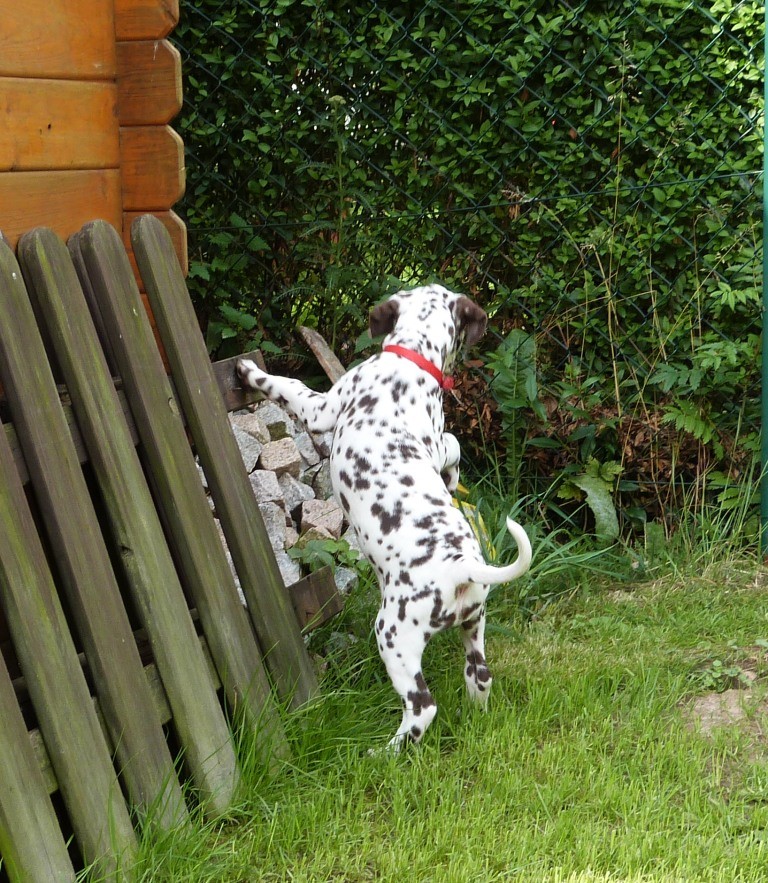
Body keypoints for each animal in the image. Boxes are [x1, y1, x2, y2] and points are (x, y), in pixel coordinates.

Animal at [237, 286, 532, 748]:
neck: (410, 357)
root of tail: (462, 567)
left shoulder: (322, 407)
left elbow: (289, 386)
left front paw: (249, 371)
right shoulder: (438, 439)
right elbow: (452, 445)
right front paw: (451, 479)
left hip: (394, 635)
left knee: (422, 706)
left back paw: (386, 752)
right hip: (474, 624)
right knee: (480, 675)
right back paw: (475, 717)